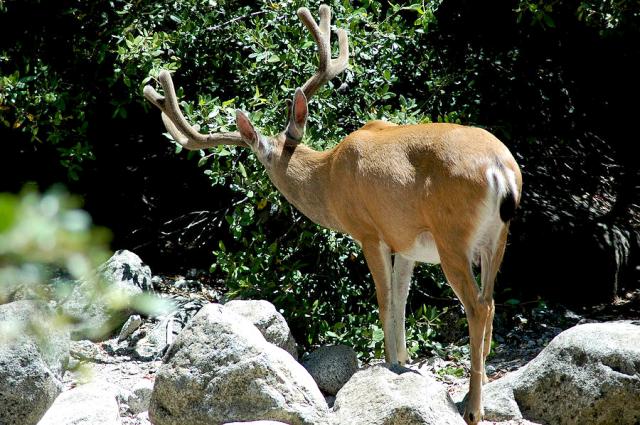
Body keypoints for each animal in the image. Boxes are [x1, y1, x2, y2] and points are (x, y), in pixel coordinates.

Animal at [143, 5, 522, 424]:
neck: (328, 175)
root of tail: (501, 169)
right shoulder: (406, 241)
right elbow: (401, 300)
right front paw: (404, 363)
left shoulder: (369, 230)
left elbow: (384, 300)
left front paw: (390, 365)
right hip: (497, 238)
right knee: (491, 302)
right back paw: (477, 393)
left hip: (452, 237)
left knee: (478, 306)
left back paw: (473, 408)